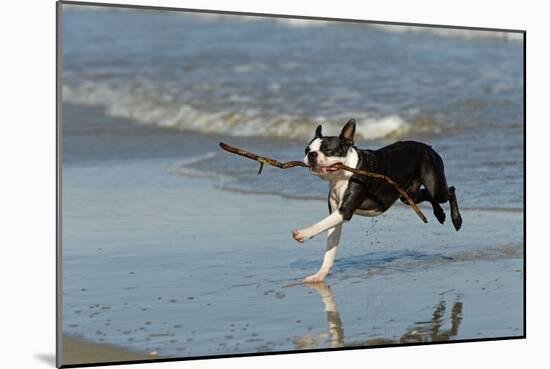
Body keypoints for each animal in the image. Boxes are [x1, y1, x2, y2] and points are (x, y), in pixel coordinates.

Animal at [292, 118, 464, 282]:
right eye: (307, 150)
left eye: (327, 150)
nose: (311, 155)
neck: (341, 175)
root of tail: (428, 147)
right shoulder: (337, 215)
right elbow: (330, 249)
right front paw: (319, 276)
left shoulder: (344, 211)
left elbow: (320, 224)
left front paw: (303, 234)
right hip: (408, 195)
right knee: (427, 196)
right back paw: (440, 214)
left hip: (436, 187)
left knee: (449, 191)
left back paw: (456, 219)